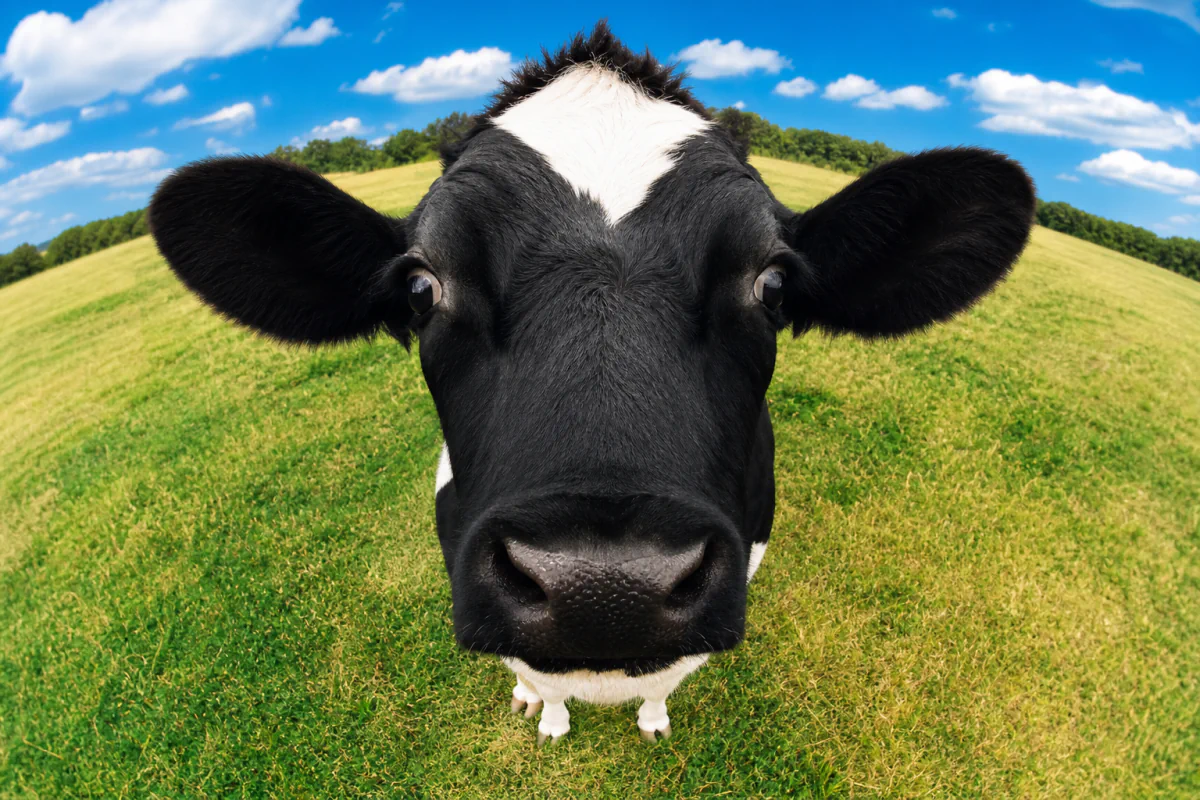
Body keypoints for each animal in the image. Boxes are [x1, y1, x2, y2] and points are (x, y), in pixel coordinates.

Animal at [147, 23, 1034, 745]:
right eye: (422, 287)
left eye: (775, 285)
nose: (604, 587)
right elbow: (536, 676)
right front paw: (547, 717)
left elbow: (671, 675)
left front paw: (652, 719)